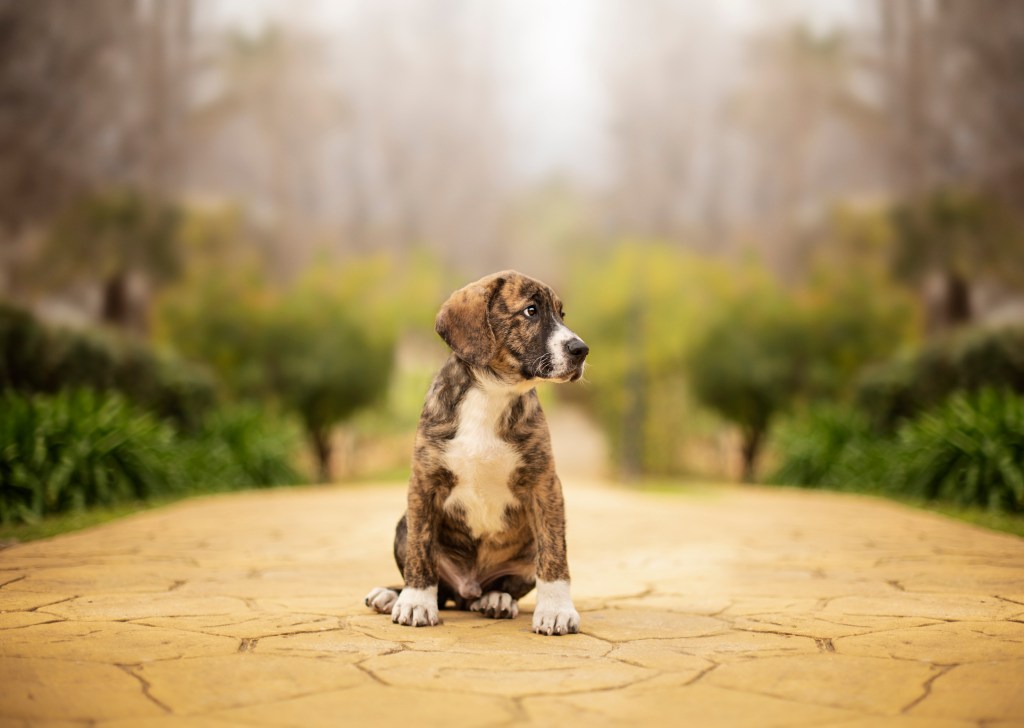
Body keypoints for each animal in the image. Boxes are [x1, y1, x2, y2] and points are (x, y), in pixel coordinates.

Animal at [364, 270, 589, 634]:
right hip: (402, 526)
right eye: (531, 311)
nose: (581, 350)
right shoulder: (424, 482)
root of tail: (467, 589)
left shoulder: (544, 484)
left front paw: (556, 610)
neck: (493, 393)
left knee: (502, 584)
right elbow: (420, 551)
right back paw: (391, 595)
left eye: (561, 314)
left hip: (523, 554)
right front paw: (415, 602)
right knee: (438, 585)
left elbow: (554, 552)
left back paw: (495, 599)